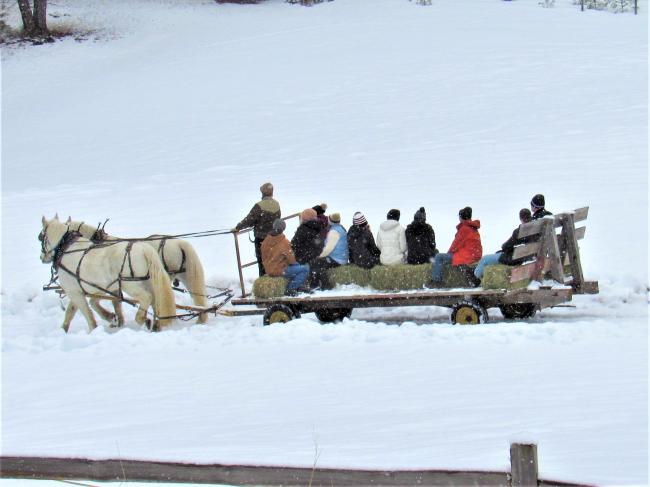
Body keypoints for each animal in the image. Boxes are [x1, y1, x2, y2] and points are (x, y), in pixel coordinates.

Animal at [40, 216, 177, 334]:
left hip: (131, 285)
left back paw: (142, 318)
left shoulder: (74, 292)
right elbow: (72, 311)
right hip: (148, 282)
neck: (67, 248)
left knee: (146, 297)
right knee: (155, 300)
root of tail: (144, 249)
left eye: (40, 237)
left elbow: (87, 313)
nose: (42, 257)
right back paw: (155, 324)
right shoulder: (88, 290)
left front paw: (95, 328)